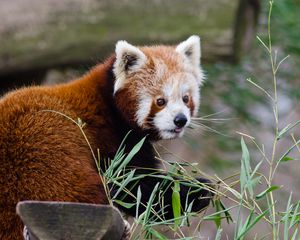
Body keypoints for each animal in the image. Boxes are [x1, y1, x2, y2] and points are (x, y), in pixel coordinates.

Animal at [0, 34, 213, 239]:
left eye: (186, 99)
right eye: (160, 101)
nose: (180, 120)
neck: (108, 105)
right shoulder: (112, 141)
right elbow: (137, 186)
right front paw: (196, 190)